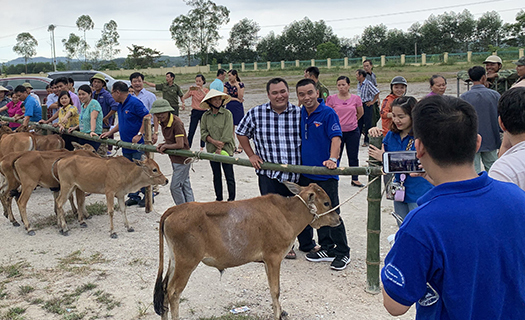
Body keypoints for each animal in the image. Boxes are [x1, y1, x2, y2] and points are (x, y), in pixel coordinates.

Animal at [151, 182, 340, 320]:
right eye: (326, 203)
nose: (338, 219)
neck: (286, 214)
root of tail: (175, 209)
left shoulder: (267, 261)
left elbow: (273, 290)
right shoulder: (274, 258)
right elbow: (276, 290)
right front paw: (278, 314)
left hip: (175, 260)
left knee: (164, 289)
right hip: (186, 263)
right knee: (173, 292)